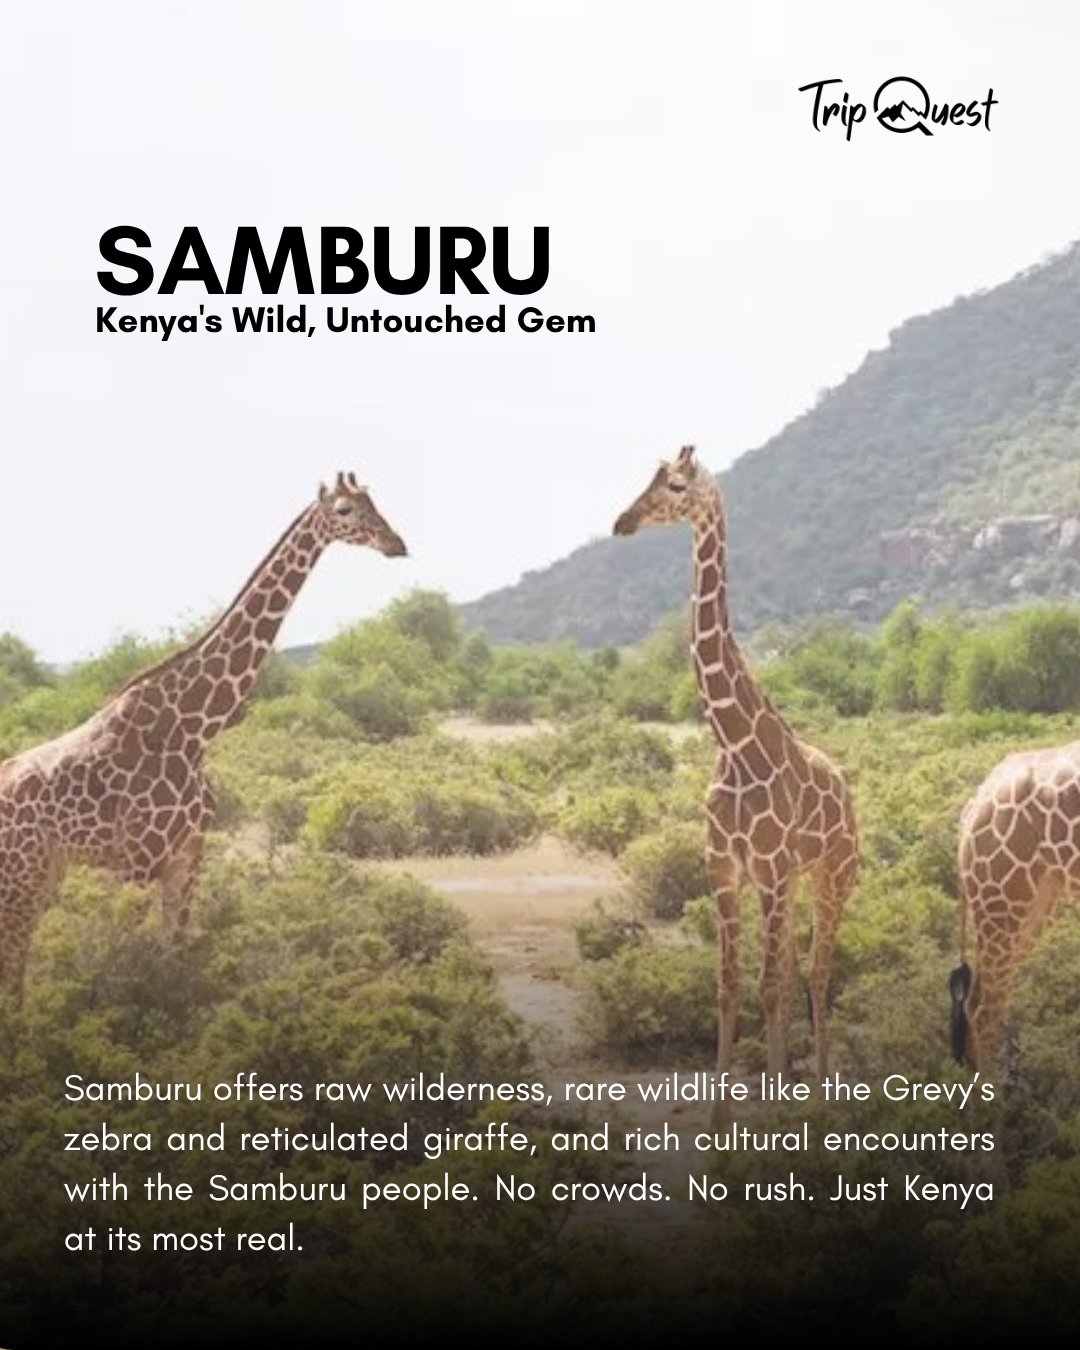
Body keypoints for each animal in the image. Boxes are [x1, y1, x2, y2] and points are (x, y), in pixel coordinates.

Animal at [0, 472, 406, 996]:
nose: (396, 544)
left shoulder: (187, 858)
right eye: (343, 511)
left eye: (374, 502)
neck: (195, 729)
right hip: (22, 875)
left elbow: (174, 961)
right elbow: (118, 969)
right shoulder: (138, 861)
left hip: (42, 874)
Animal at [613, 446, 859, 1089]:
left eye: (676, 485)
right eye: (646, 478)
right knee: (798, 970)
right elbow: (728, 989)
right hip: (794, 883)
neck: (734, 746)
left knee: (817, 971)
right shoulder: (725, 872)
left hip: (834, 875)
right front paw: (726, 1115)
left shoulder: (768, 873)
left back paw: (824, 1088)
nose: (622, 522)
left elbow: (767, 989)